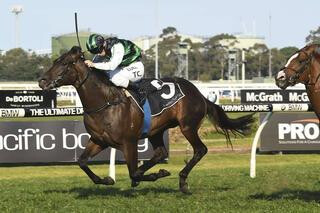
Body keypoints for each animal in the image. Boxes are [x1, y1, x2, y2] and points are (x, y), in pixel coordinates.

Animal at [39, 45, 255, 194]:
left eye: (64, 63)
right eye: (56, 60)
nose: (42, 81)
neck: (106, 102)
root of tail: (199, 94)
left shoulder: (129, 142)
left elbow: (133, 171)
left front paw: (156, 174)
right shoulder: (99, 140)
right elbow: (82, 162)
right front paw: (107, 180)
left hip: (187, 126)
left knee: (200, 149)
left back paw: (182, 182)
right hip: (156, 130)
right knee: (160, 152)